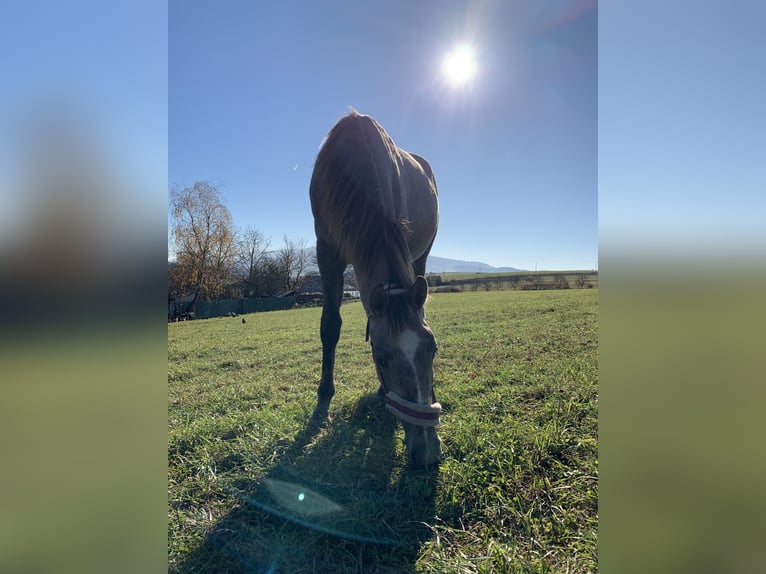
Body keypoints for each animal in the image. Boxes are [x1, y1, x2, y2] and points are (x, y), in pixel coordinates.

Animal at [309, 110, 441, 468]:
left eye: (433, 349)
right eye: (381, 358)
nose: (427, 450)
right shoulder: (327, 250)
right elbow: (330, 326)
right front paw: (323, 400)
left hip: (422, 254)